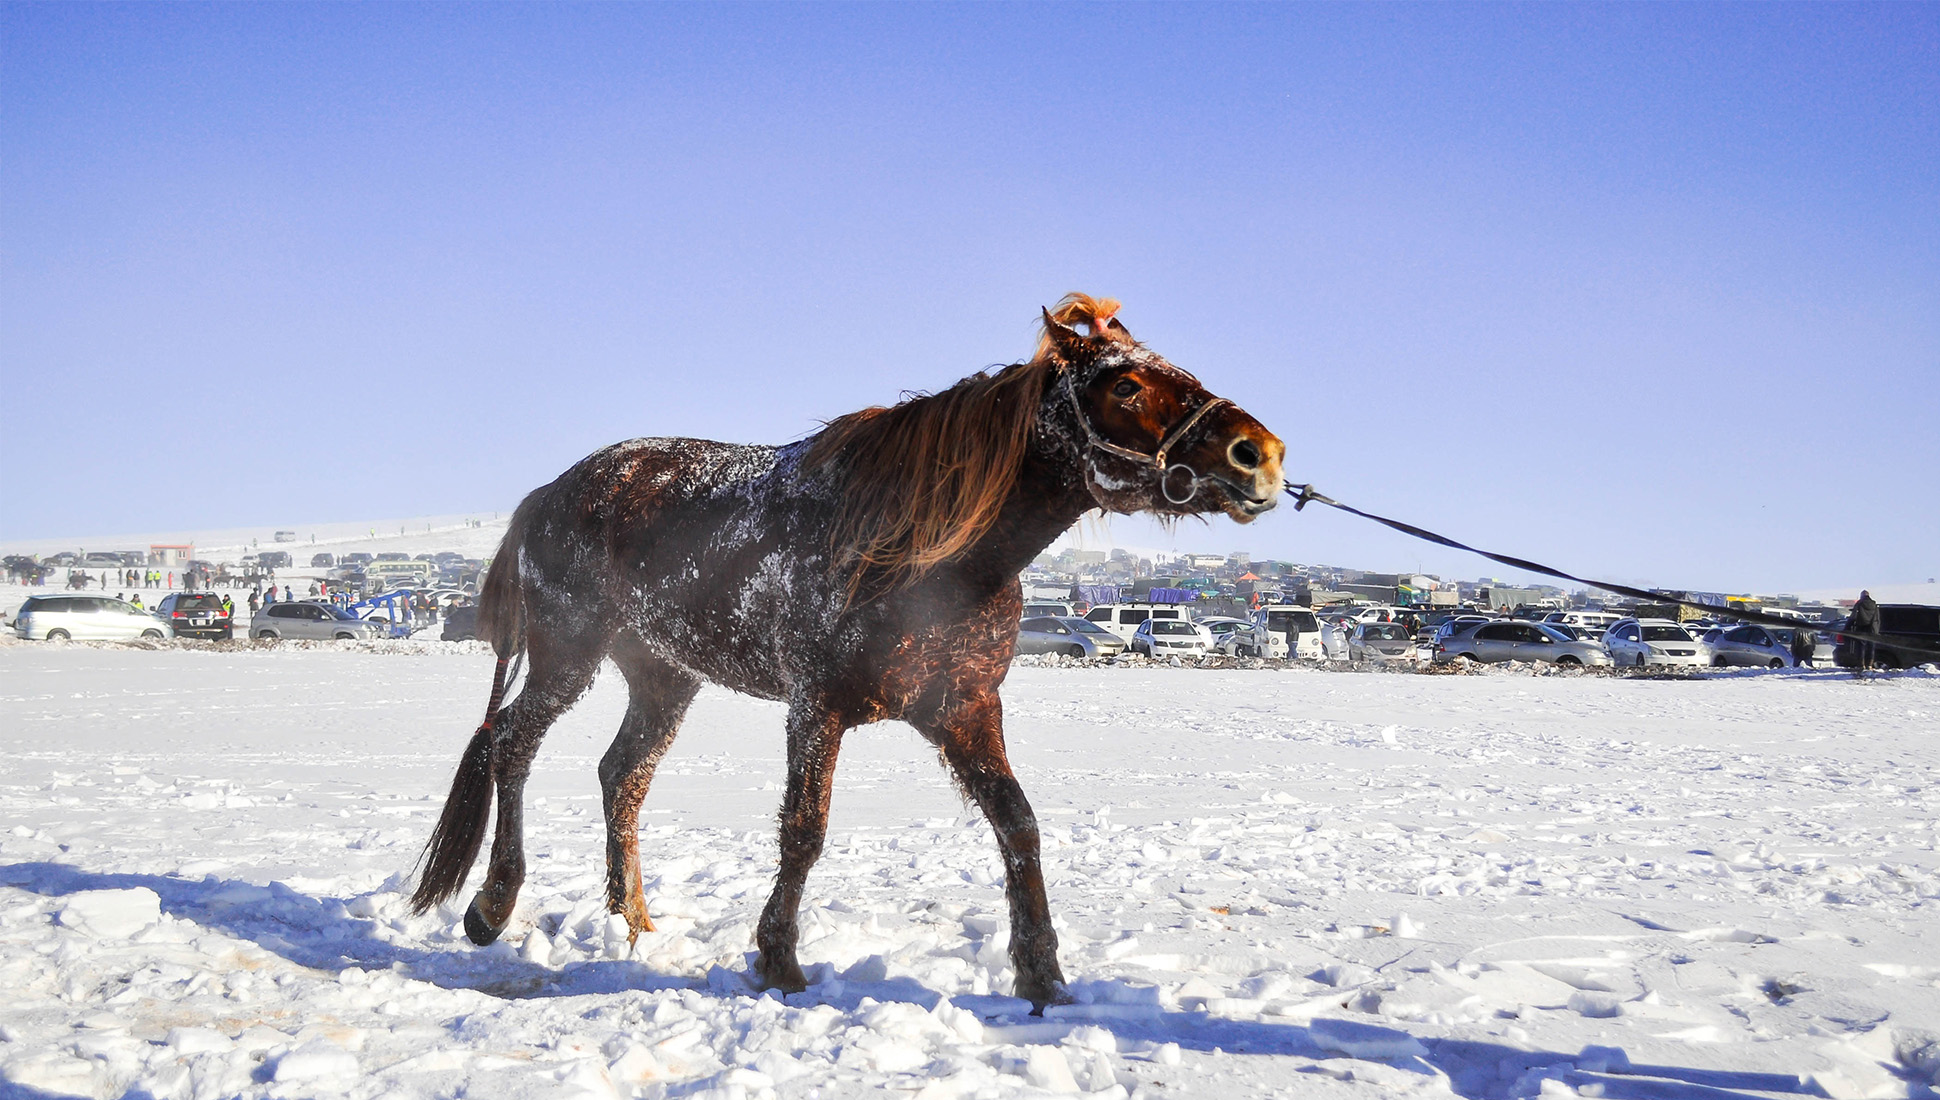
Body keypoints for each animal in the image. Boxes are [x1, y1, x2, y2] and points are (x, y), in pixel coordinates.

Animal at [409, 294, 1288, 1016]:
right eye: (1126, 386)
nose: (1260, 453)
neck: (931, 552)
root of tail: (550, 494)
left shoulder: (966, 710)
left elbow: (1020, 826)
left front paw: (1043, 975)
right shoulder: (817, 706)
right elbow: (805, 829)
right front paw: (779, 960)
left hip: (664, 676)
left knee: (621, 774)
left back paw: (634, 915)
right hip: (569, 655)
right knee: (511, 745)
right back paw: (492, 905)